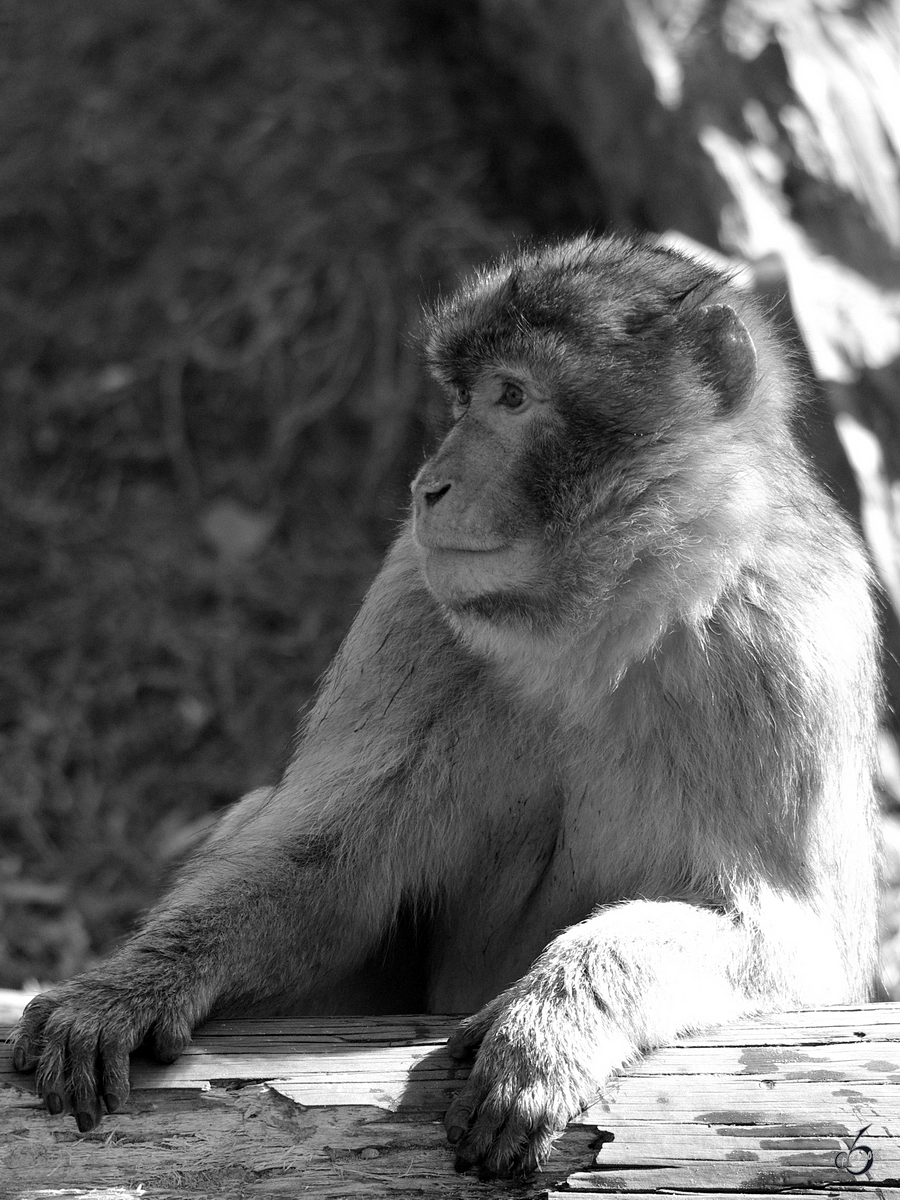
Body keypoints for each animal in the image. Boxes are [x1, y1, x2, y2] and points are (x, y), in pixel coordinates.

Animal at [8, 234, 883, 1180]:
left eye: (513, 396)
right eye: (465, 398)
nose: (428, 484)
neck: (600, 629)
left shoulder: (788, 649)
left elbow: (796, 953)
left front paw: (553, 1018)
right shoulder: (412, 600)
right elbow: (328, 866)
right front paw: (126, 986)